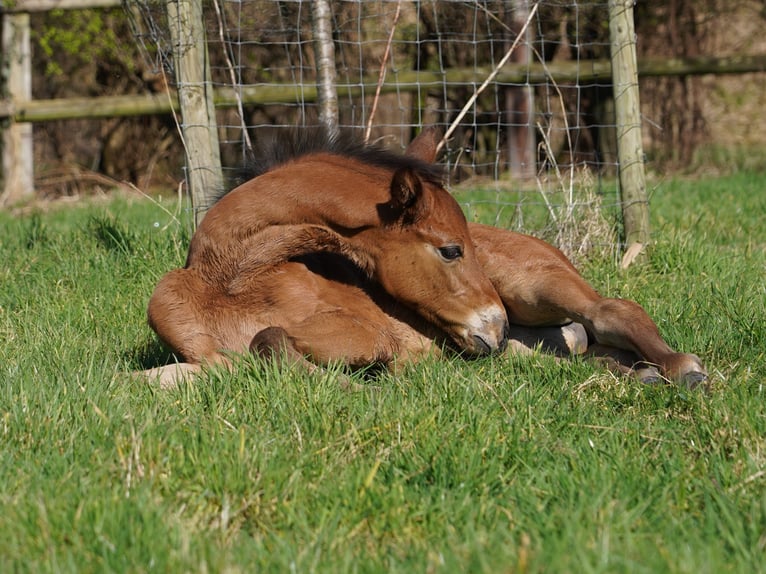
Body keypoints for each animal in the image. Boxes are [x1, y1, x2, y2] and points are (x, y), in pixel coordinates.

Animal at [144, 127, 708, 390]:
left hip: (536, 289)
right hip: (532, 347)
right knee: (583, 351)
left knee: (612, 310)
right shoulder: (199, 359)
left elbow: (269, 337)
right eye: (451, 249)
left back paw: (680, 368)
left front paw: (355, 382)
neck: (232, 284)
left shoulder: (366, 332)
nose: (496, 327)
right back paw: (638, 374)